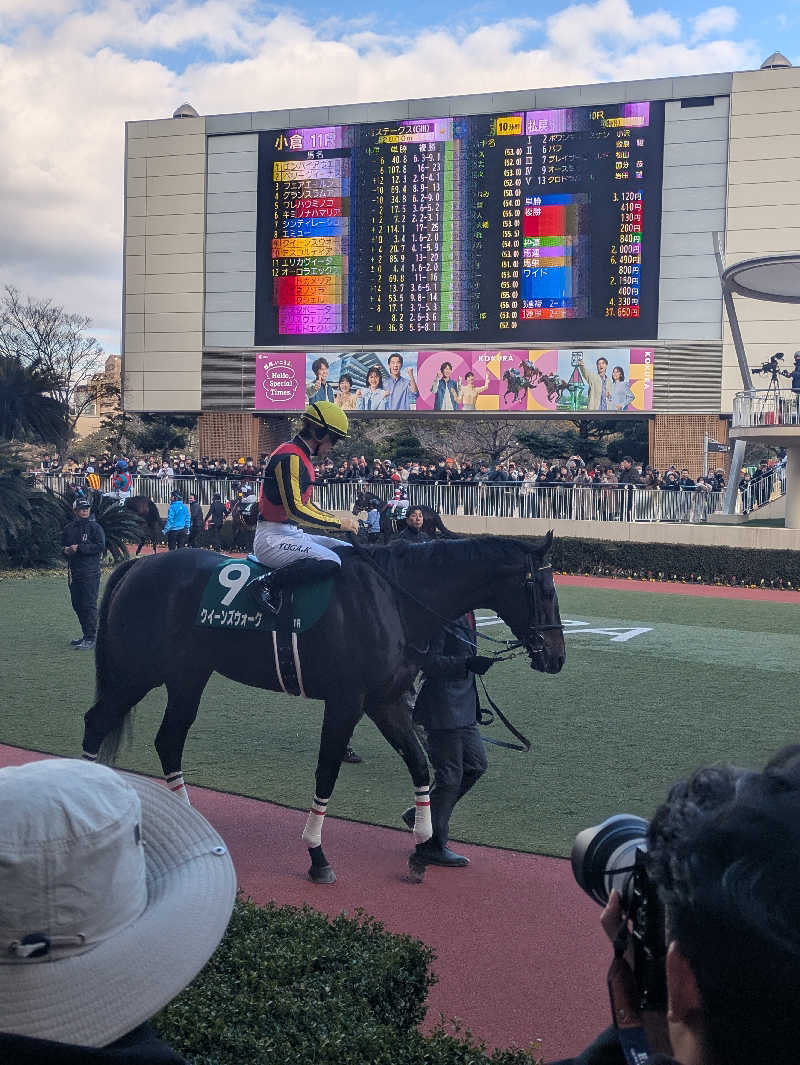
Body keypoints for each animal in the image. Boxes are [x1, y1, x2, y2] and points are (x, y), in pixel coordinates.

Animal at [84, 536, 566, 886]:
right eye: (545, 591)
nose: (557, 657)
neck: (392, 599)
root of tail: (137, 566)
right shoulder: (346, 701)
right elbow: (327, 773)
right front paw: (317, 856)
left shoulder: (385, 701)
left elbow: (420, 766)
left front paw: (421, 848)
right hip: (137, 673)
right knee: (97, 723)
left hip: (187, 676)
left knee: (169, 739)